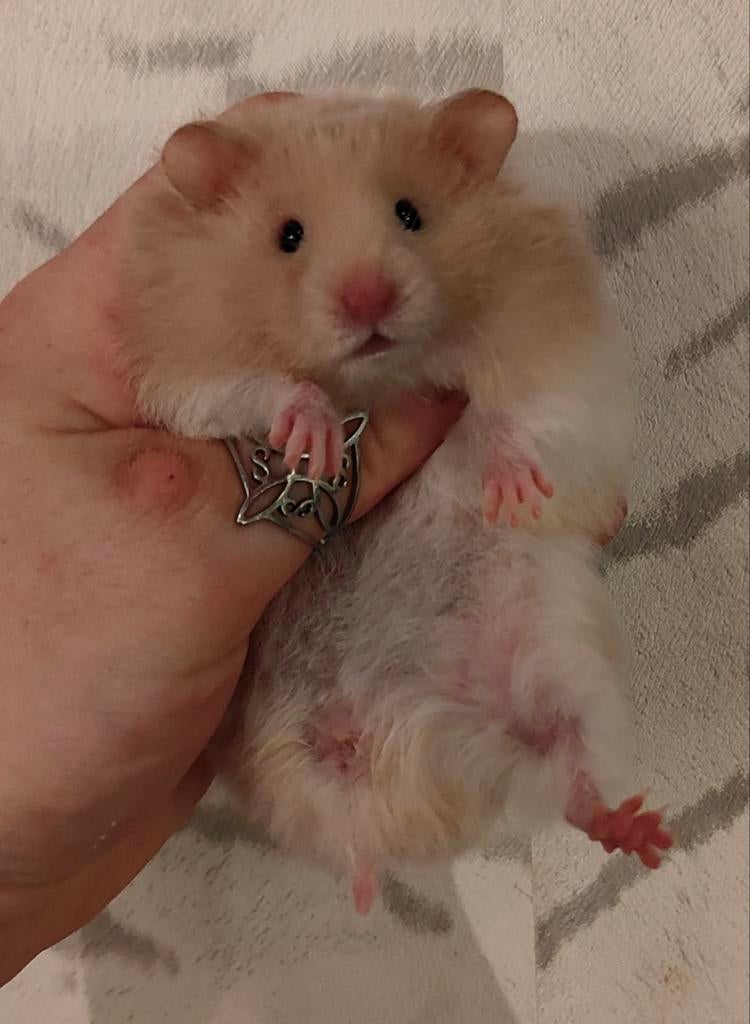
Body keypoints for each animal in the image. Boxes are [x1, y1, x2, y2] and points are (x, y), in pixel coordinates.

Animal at [125, 90, 672, 913]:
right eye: (288, 236)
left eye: (411, 214)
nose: (368, 299)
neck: (384, 377)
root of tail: (404, 747)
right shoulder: (187, 373)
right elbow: (259, 389)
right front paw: (314, 435)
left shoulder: (560, 356)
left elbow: (514, 415)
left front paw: (512, 492)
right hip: (289, 759)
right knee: (348, 830)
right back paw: (361, 899)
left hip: (561, 679)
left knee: (572, 780)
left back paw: (645, 837)